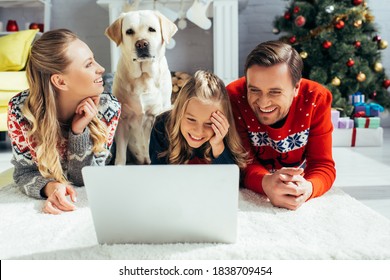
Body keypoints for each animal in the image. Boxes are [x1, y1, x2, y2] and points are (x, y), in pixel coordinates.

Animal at [104, 10, 176, 164]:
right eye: (129, 31)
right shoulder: (123, 120)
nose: (142, 44)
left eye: (152, 29)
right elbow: (121, 155)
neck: (143, 78)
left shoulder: (155, 116)